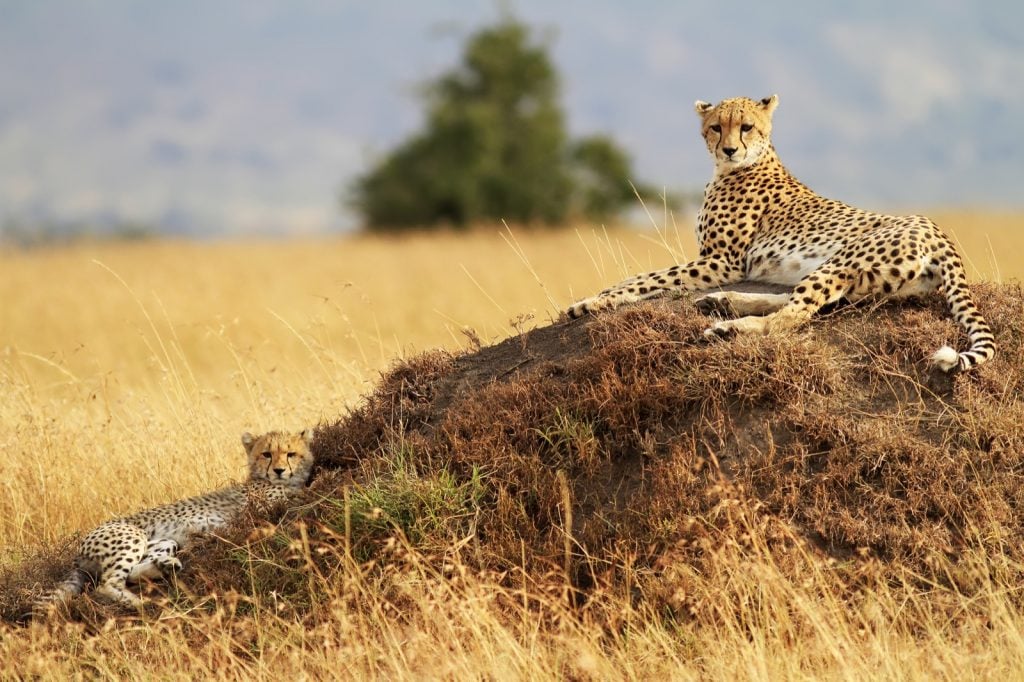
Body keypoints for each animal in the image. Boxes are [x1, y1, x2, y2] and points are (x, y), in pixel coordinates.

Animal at [36, 428, 313, 606]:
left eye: (290, 454)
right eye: (266, 454)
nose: (279, 470)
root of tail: (78, 552)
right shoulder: (260, 509)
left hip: (165, 541)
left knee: (132, 572)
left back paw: (165, 567)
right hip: (131, 536)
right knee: (107, 583)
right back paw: (139, 603)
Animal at [569, 94, 991, 372]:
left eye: (746, 127)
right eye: (716, 128)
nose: (729, 149)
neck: (736, 167)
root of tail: (940, 234)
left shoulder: (721, 262)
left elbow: (646, 278)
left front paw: (593, 302)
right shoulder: (717, 261)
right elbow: (644, 277)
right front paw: (595, 299)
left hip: (842, 262)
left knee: (791, 317)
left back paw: (727, 326)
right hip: (863, 282)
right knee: (805, 304)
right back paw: (722, 302)